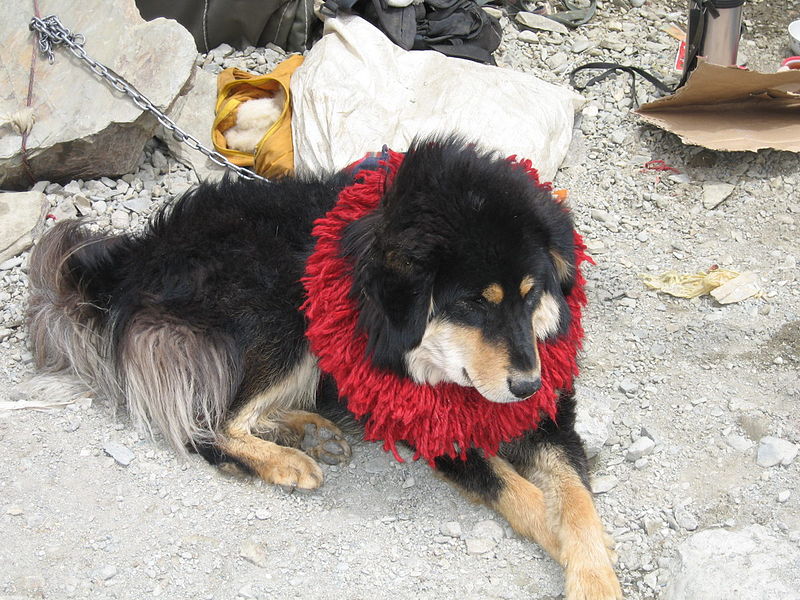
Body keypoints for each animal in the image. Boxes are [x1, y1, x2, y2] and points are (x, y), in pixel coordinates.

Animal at [26, 137, 620, 600]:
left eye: (531, 294)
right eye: (475, 304)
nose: (527, 385)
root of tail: (136, 259)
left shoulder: (548, 413)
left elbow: (578, 501)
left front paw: (595, 571)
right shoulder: (424, 422)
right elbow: (523, 495)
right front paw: (567, 538)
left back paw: (310, 431)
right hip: (286, 307)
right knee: (209, 422)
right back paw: (287, 460)